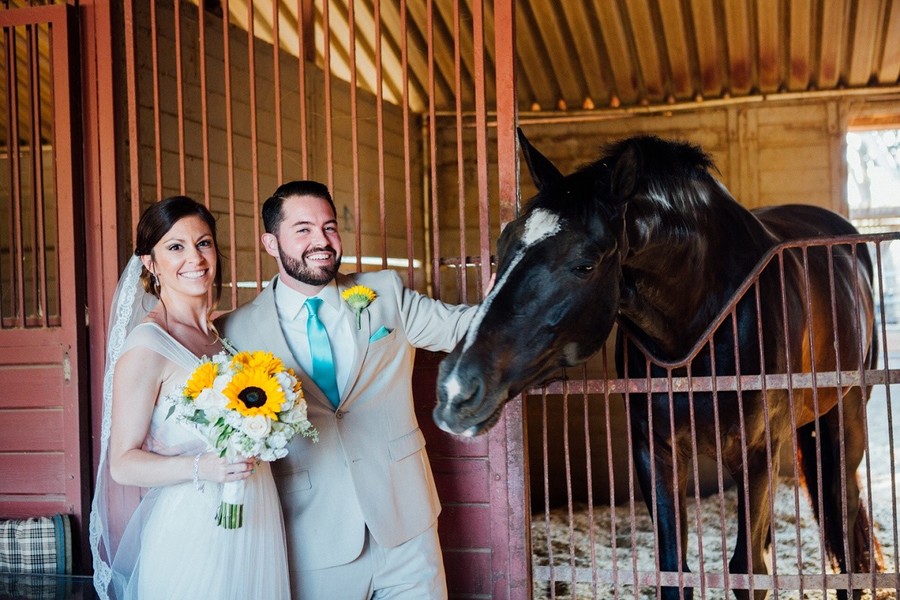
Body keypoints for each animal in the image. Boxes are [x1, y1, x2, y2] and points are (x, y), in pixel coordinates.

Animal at [432, 132, 884, 600]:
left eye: (584, 264)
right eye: (503, 247)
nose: (457, 389)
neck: (704, 321)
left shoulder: (757, 453)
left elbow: (748, 572)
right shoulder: (656, 453)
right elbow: (674, 572)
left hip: (845, 416)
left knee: (844, 512)